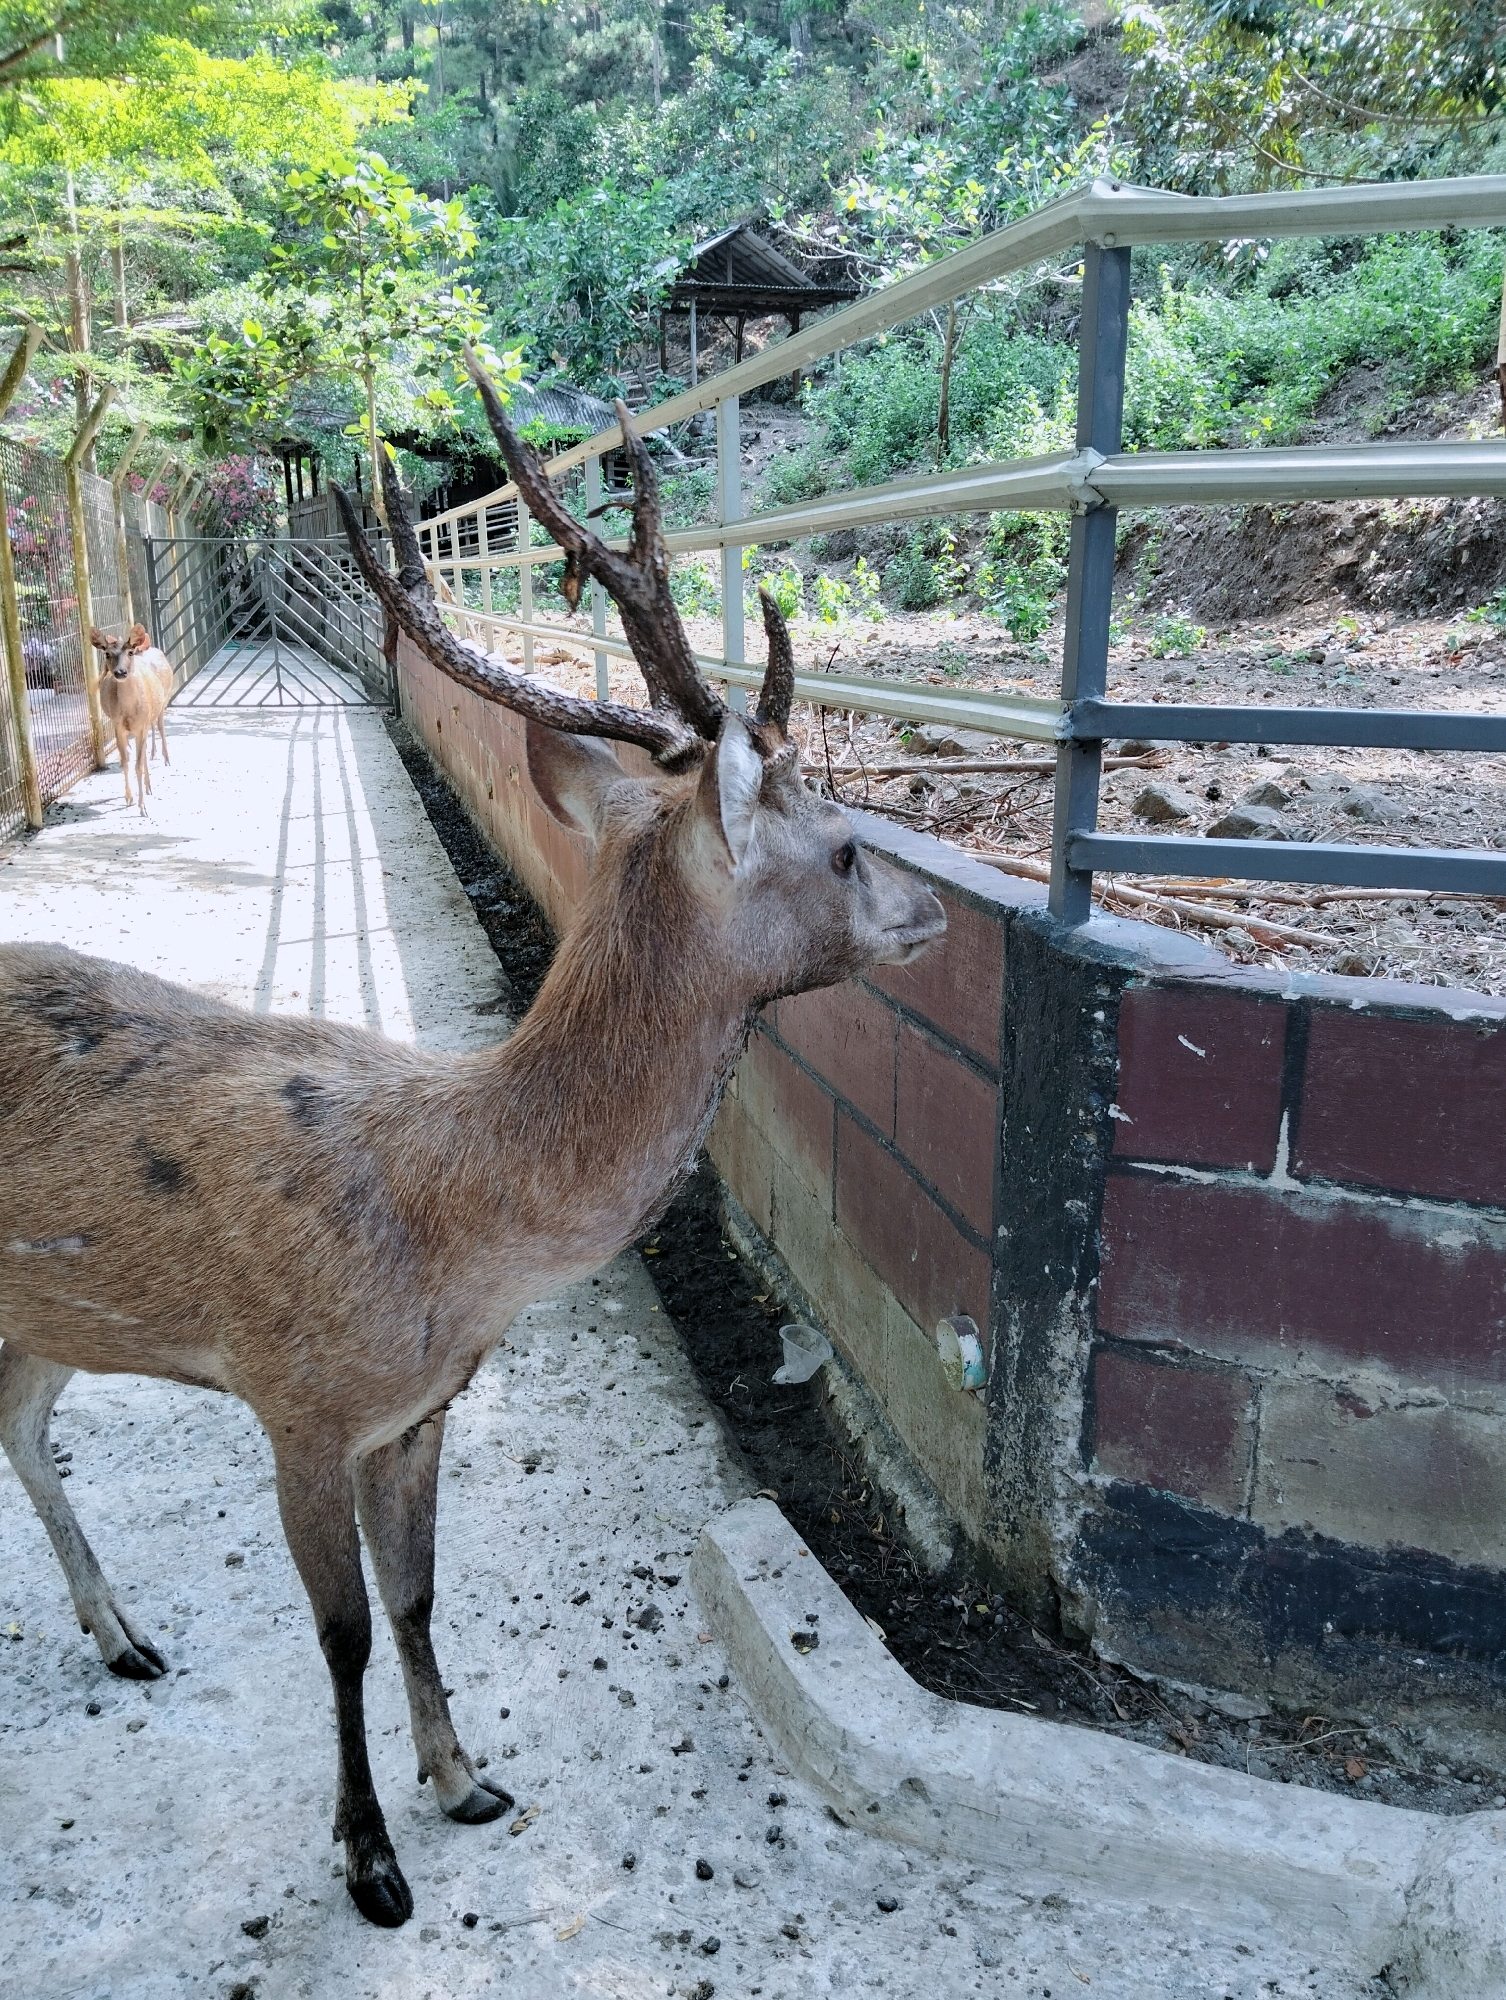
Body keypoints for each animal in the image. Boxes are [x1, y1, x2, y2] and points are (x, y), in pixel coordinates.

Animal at [89, 623, 172, 811]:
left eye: (130, 652)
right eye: (107, 653)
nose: (120, 672)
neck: (129, 710)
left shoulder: (142, 724)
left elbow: (138, 765)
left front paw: (143, 807)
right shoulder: (118, 726)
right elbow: (125, 762)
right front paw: (129, 798)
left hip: (162, 703)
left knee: (160, 727)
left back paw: (163, 763)